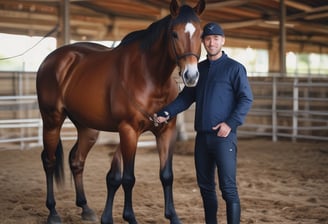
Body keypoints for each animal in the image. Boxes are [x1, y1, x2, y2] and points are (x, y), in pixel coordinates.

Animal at [36, 0, 205, 223]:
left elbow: (166, 175)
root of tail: (53, 59)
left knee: (77, 160)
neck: (149, 76)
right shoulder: (128, 131)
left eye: (201, 34)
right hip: (52, 120)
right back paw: (53, 211)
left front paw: (173, 217)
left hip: (88, 128)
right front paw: (130, 217)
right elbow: (128, 178)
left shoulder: (167, 130)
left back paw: (85, 208)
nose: (191, 76)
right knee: (49, 161)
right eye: (174, 34)